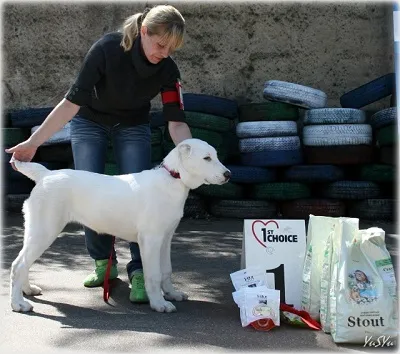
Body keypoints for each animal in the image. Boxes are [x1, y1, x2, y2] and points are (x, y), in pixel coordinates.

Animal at [9, 138, 231, 312]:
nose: (228, 174)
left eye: (216, 156)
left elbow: (166, 270)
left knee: (23, 263)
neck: (173, 179)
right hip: (44, 230)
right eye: (207, 158)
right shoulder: (151, 240)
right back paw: (18, 304)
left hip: (36, 231)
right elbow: (154, 274)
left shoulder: (166, 238)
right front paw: (159, 303)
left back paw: (27, 290)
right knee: (19, 265)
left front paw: (172, 293)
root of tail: (46, 174)